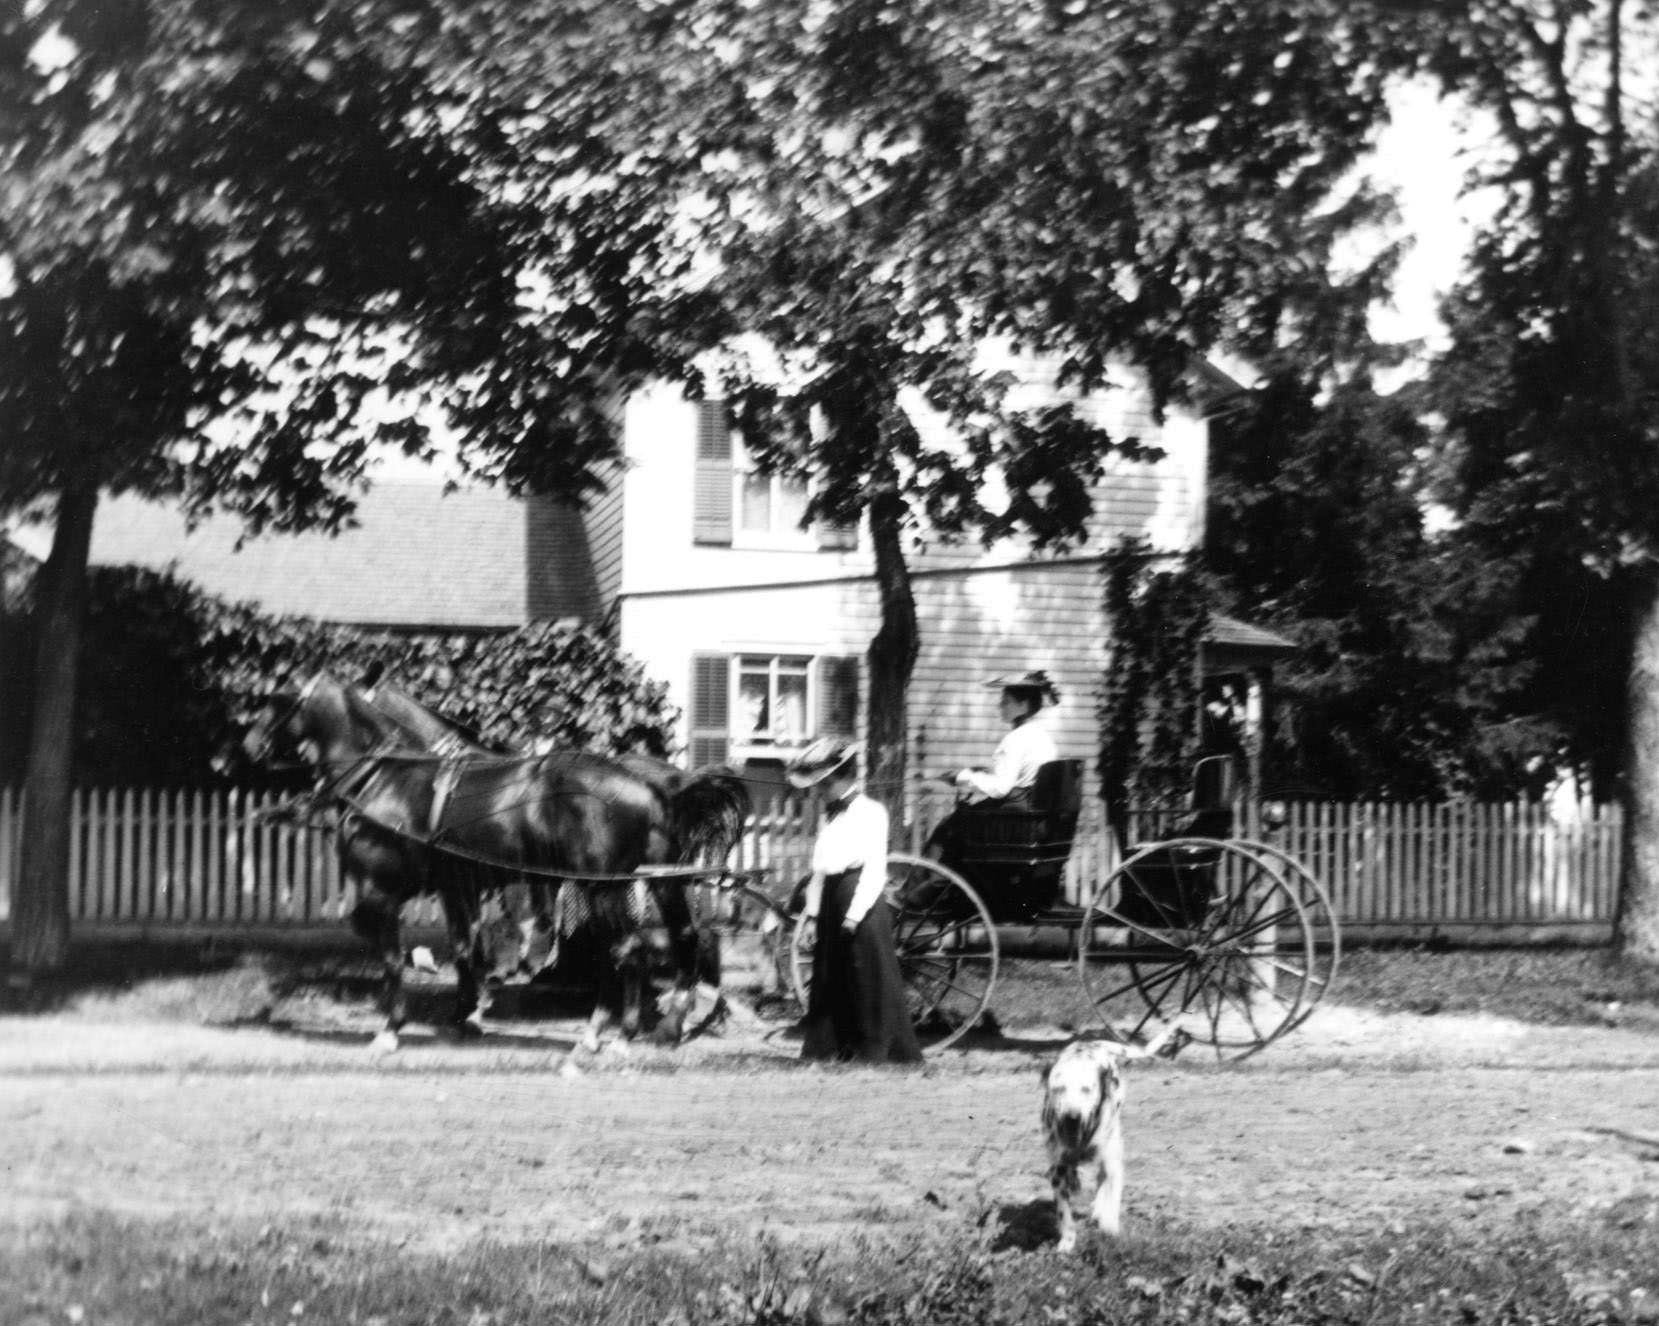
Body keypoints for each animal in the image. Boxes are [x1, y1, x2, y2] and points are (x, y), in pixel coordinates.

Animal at [1035, 1028, 1181, 1254]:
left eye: (1086, 1089)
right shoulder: (1057, 1171)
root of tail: (1092, 1043)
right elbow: (1064, 1212)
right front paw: (1067, 1242)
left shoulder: (1112, 1165)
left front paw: (1108, 1226)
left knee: (1102, 1182)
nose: (1071, 1116)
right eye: (1059, 1089)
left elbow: (1110, 1198)